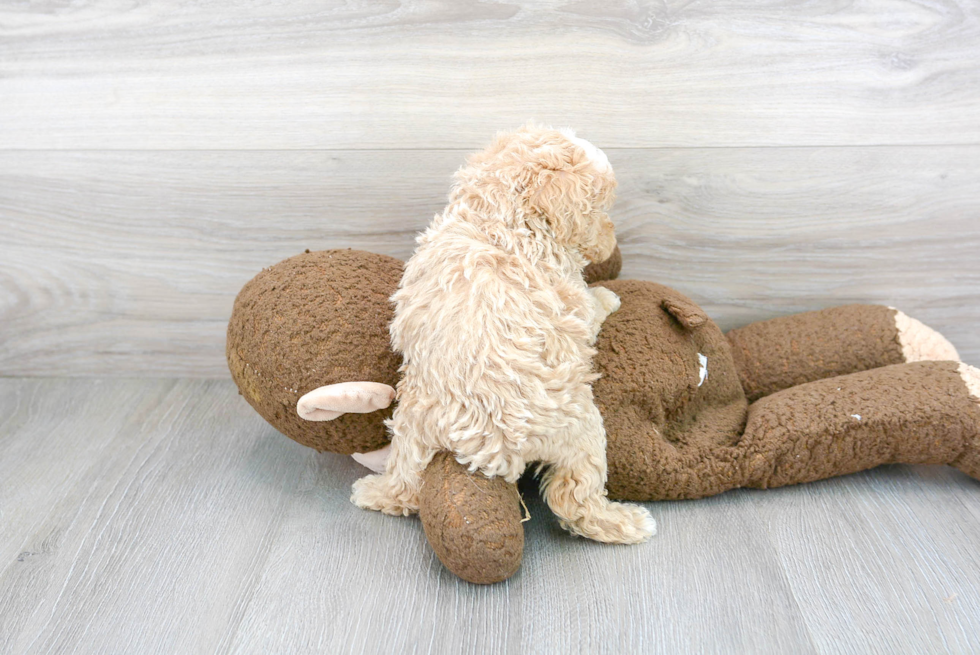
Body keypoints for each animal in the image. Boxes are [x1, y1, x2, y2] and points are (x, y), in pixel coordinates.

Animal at [348, 125, 656, 544]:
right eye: (600, 209)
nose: (611, 242)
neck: (496, 217)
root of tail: (486, 447)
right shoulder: (569, 301)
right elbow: (591, 307)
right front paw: (607, 296)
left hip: (413, 421)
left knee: (406, 482)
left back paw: (373, 492)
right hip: (581, 428)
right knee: (576, 498)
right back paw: (626, 522)